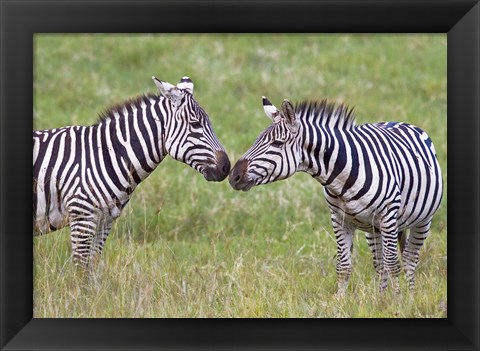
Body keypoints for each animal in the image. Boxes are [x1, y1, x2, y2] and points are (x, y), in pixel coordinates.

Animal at [32, 77, 230, 268]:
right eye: (195, 124)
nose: (226, 167)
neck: (106, 155)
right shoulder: (82, 217)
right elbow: (80, 268)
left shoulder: (105, 220)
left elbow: (93, 265)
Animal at [229, 95, 442, 294]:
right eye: (256, 140)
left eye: (277, 143)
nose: (233, 176)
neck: (343, 177)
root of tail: (397, 122)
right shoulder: (340, 219)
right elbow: (344, 266)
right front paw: (340, 301)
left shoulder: (388, 215)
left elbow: (393, 265)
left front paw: (398, 302)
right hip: (374, 229)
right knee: (380, 264)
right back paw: (381, 298)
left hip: (422, 221)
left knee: (408, 259)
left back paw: (409, 297)